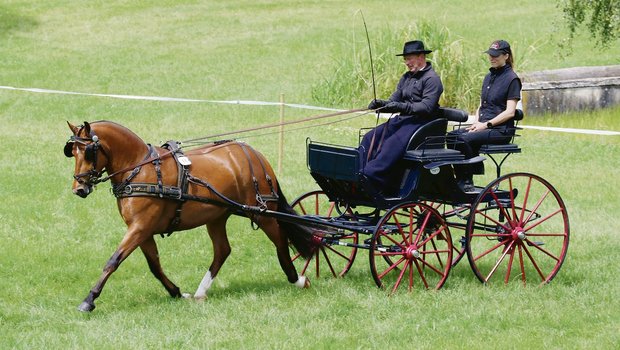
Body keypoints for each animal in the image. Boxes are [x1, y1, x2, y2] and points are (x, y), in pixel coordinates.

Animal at [65, 120, 312, 312]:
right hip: (217, 216)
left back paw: (296, 279)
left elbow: (113, 261)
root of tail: (253, 153)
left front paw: (89, 299)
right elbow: (154, 266)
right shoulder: (142, 231)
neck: (139, 169)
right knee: (222, 250)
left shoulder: (140, 227)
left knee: (279, 239)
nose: (79, 188)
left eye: (88, 152)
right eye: (72, 151)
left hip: (262, 213)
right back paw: (201, 291)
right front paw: (176, 292)